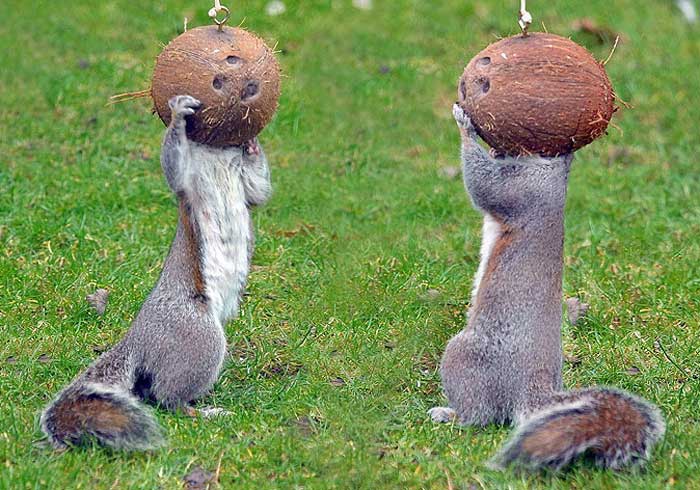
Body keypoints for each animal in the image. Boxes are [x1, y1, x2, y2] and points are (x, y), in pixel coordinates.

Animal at [41, 95, 272, 450]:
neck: (215, 155)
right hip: (197, 336)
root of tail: (139, 339)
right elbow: (174, 167)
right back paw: (207, 412)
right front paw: (178, 114)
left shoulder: (245, 184)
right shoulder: (186, 180)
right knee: (168, 399)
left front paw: (252, 145)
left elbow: (258, 189)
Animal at [428, 104, 665, 471]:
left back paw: (449, 414)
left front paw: (464, 124)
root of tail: (532, 390)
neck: (555, 167)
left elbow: (482, 184)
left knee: (480, 416)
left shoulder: (523, 188)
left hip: (464, 357)